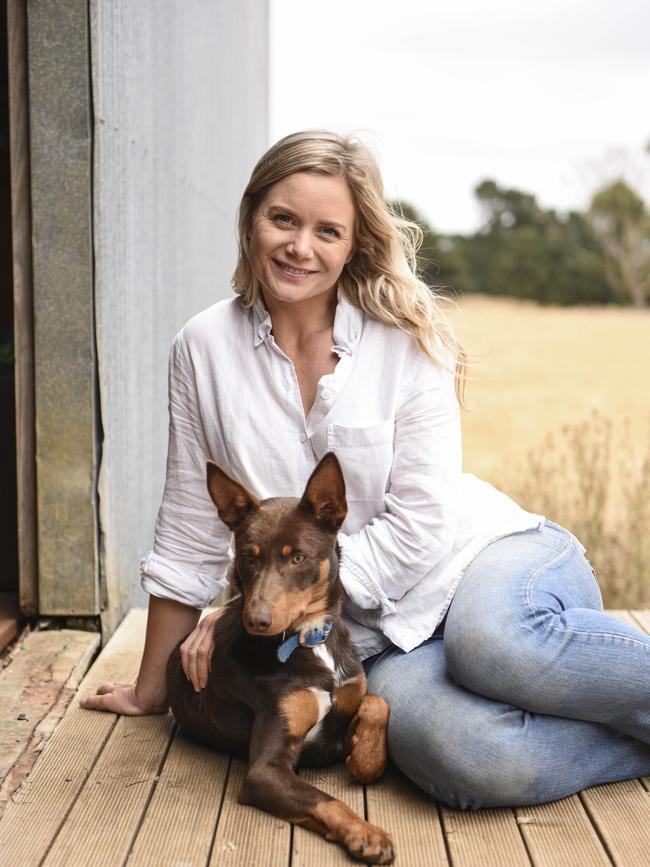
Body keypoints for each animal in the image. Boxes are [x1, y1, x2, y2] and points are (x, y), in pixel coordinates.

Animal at [165, 458, 392, 864]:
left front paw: (366, 759)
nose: (256, 621)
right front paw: (366, 833)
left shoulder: (340, 718)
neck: (309, 639)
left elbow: (378, 702)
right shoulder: (267, 770)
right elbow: (325, 800)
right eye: (247, 556)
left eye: (297, 557)